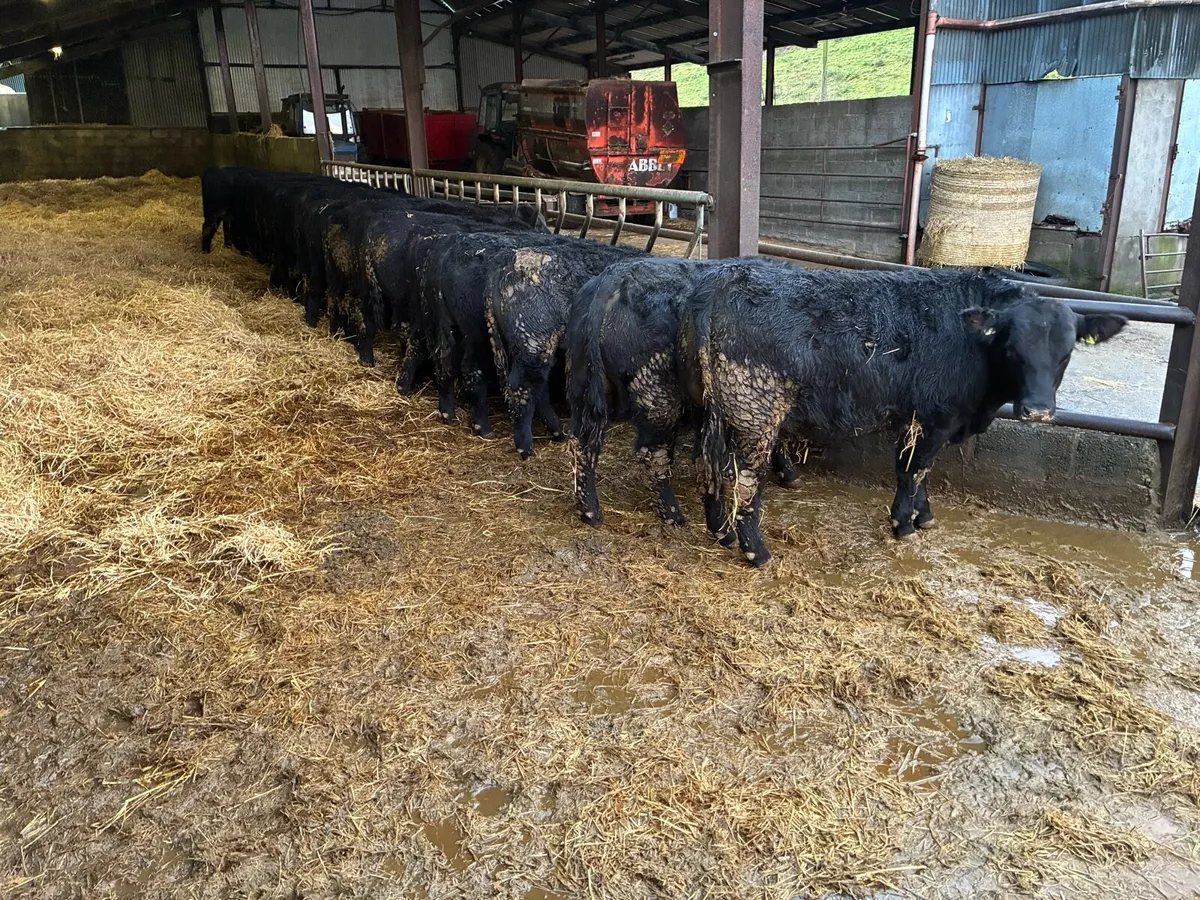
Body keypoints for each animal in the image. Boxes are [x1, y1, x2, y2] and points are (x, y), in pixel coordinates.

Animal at [690, 264, 1127, 566]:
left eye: (1066, 353)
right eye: (1012, 348)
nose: (1038, 412)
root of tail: (728, 280)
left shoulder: (922, 420)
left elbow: (922, 471)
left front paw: (924, 515)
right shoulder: (934, 418)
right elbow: (913, 470)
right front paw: (903, 524)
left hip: (720, 414)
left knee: (712, 469)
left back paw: (722, 532)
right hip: (755, 414)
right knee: (744, 481)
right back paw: (755, 551)